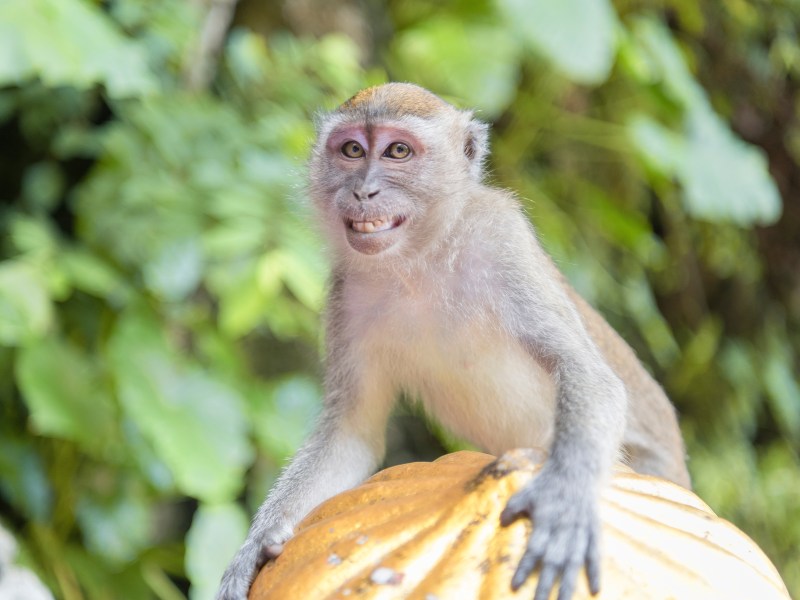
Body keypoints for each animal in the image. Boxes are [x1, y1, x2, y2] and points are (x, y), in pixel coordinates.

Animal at [217, 83, 688, 600]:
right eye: (352, 150)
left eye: (398, 151)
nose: (363, 190)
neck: (419, 258)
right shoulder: (344, 291)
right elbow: (353, 431)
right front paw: (256, 545)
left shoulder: (502, 239)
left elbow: (585, 371)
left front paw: (564, 500)